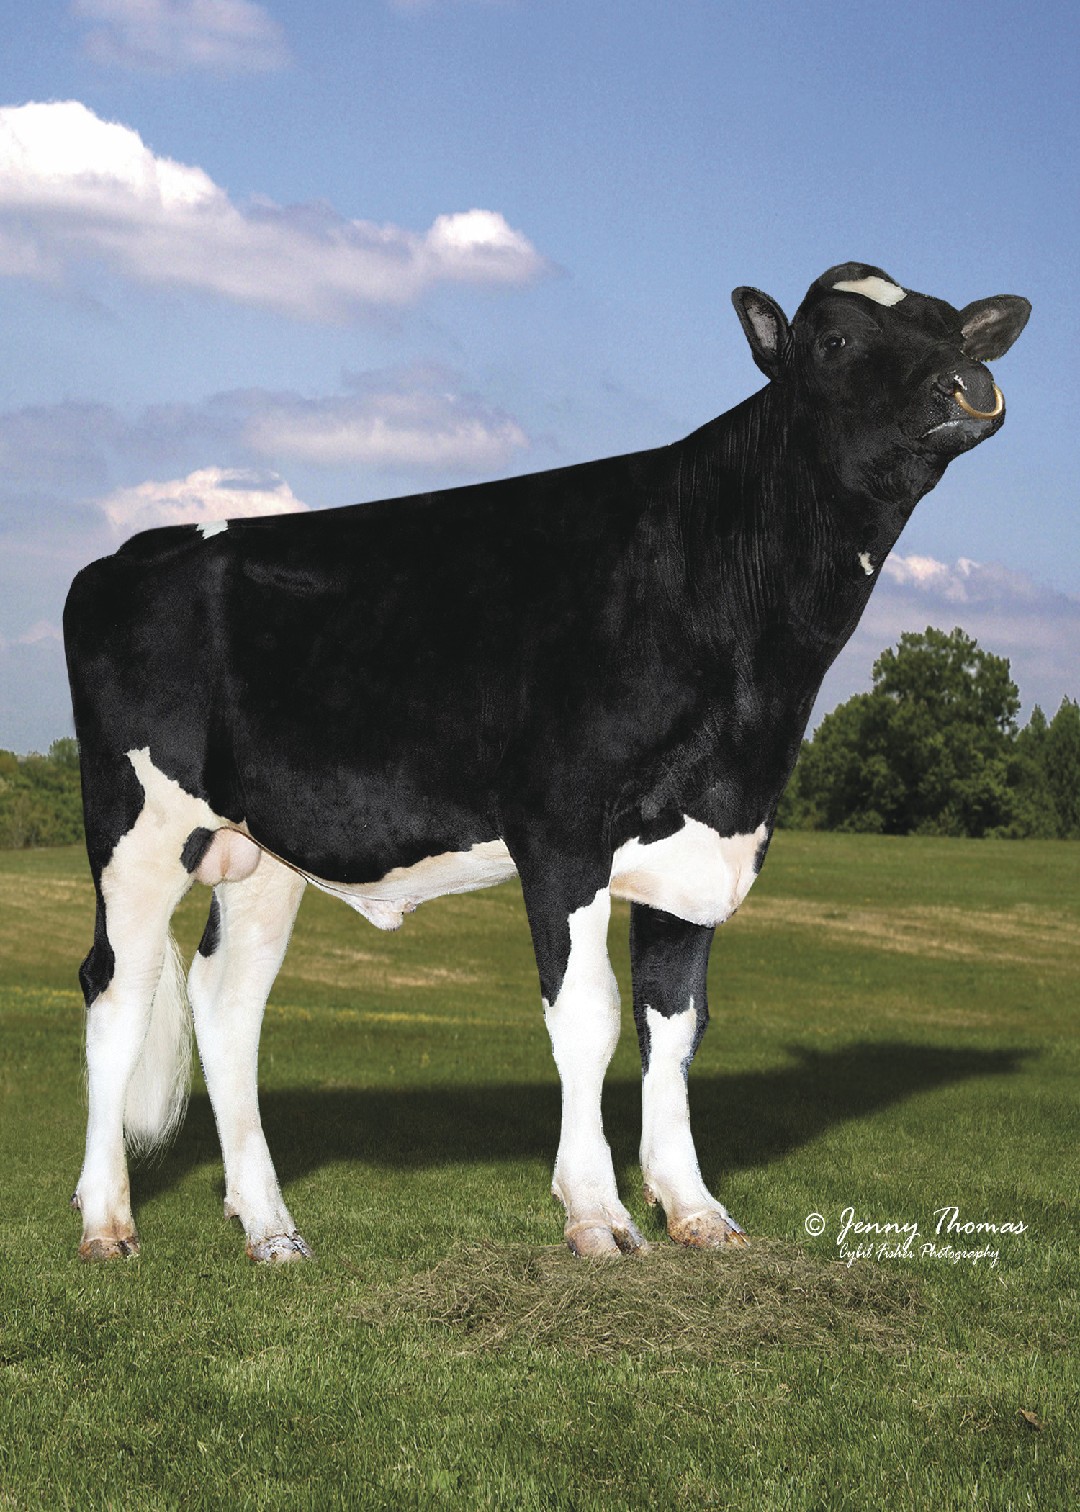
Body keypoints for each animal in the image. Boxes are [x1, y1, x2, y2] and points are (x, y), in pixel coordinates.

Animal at [63, 263, 1030, 1263]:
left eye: (956, 332)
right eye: (835, 341)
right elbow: (590, 1016)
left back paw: (269, 1227)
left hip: (261, 851)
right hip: (137, 826)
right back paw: (106, 1222)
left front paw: (693, 1207)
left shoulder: (704, 836)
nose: (970, 386)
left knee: (227, 1004)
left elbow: (675, 1022)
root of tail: (136, 549)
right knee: (115, 989)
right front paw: (596, 1211)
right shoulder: (562, 830)